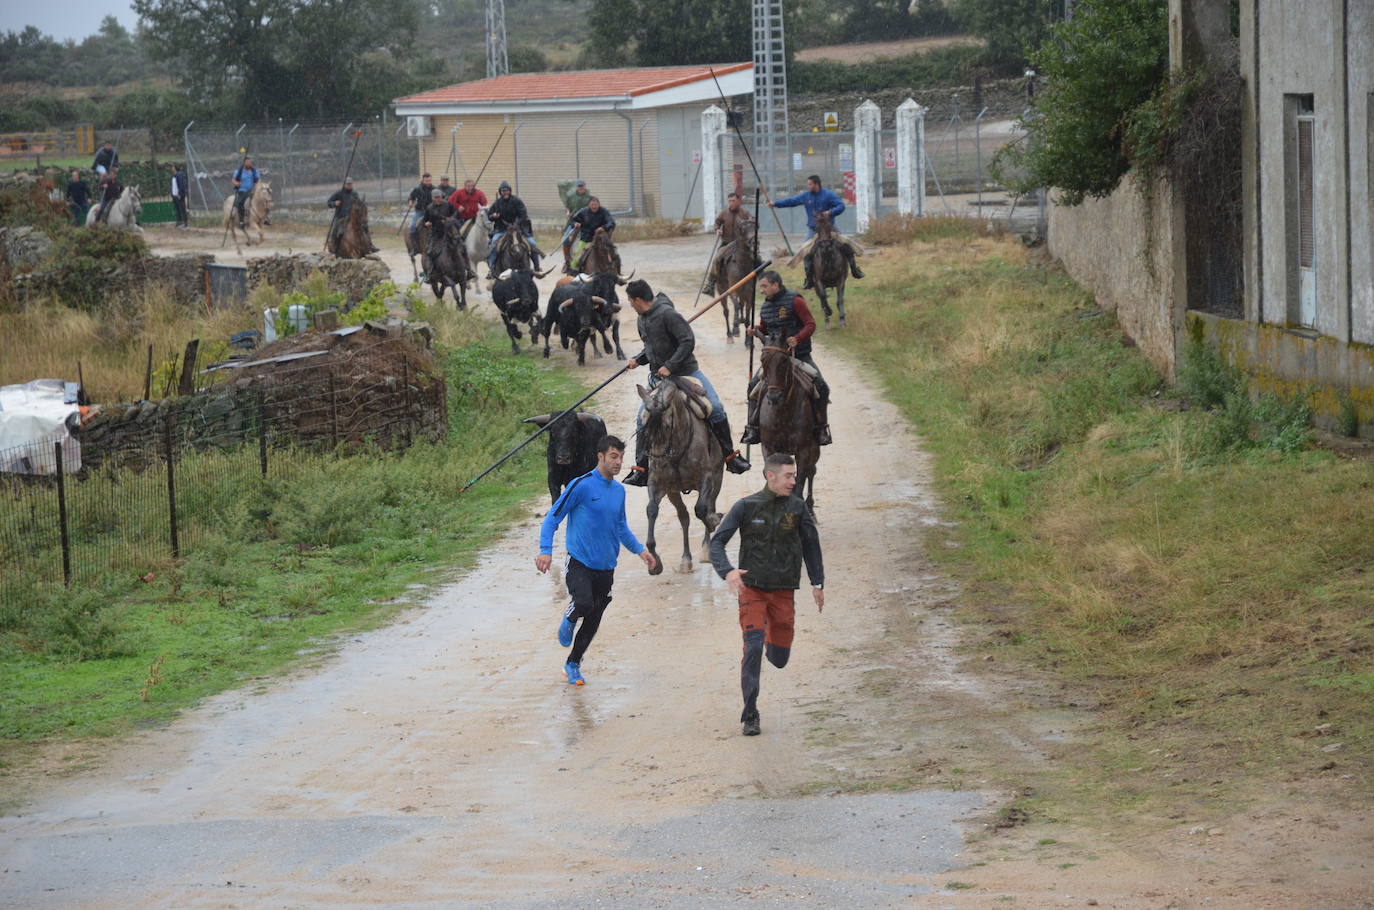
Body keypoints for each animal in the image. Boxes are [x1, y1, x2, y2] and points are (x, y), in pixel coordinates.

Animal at [634, 379, 725, 577]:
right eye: (644, 426)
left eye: (667, 425)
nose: (658, 461)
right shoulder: (659, 484)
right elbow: (651, 510)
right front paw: (654, 562)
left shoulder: (707, 478)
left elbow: (701, 509)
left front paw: (713, 522)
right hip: (674, 493)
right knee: (684, 517)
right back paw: (686, 560)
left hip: (717, 479)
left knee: (709, 505)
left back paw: (707, 549)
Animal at [758, 331, 818, 508]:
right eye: (762, 360)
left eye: (784, 360)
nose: (774, 397)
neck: (782, 413)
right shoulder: (769, 448)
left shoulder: (803, 450)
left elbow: (800, 481)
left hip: (814, 447)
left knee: (811, 471)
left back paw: (810, 506)